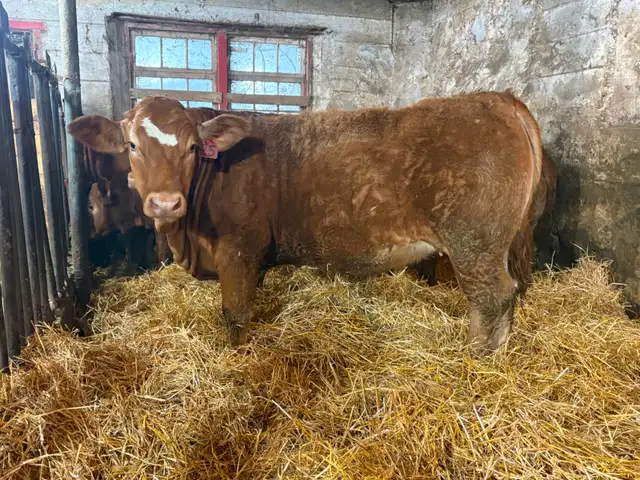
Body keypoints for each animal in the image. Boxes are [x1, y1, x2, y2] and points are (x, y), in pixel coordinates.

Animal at [68, 91, 543, 356]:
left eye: (191, 147)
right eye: (132, 145)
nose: (165, 203)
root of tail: (495, 98)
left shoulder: (238, 251)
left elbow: (234, 316)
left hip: (474, 243)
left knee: (492, 298)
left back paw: (478, 361)